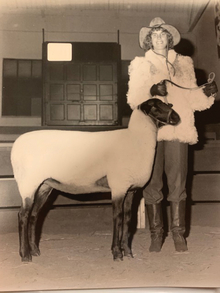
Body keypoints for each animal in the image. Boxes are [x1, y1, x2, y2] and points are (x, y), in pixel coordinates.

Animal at [9, 97, 180, 262]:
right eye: (156, 106)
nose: (177, 117)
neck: (136, 140)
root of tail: (16, 145)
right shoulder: (118, 186)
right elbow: (117, 217)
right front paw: (117, 253)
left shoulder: (131, 189)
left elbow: (127, 218)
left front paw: (128, 252)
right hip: (27, 183)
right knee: (23, 215)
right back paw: (25, 255)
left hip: (45, 185)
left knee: (34, 215)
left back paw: (35, 250)